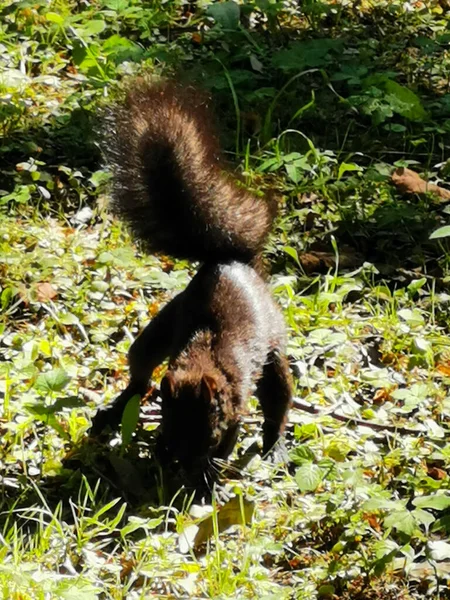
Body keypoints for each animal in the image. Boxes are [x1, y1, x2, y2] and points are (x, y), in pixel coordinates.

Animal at [91, 79, 294, 488]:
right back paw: (115, 410)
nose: (180, 459)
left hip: (274, 357)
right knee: (140, 378)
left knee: (277, 407)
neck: (203, 363)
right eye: (170, 423)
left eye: (209, 431)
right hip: (158, 330)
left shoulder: (236, 408)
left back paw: (275, 445)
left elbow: (227, 445)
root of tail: (230, 260)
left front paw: (205, 480)